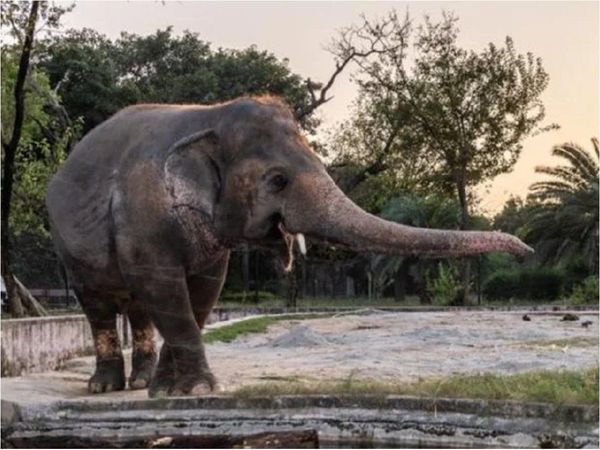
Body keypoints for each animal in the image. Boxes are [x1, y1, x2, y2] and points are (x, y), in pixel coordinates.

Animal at [47, 96, 532, 398]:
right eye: (278, 179)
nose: (526, 250)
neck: (208, 115)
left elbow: (202, 294)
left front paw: (170, 391)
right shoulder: (144, 216)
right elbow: (166, 290)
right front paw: (198, 389)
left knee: (138, 308)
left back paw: (137, 384)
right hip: (68, 249)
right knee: (99, 305)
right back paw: (103, 387)